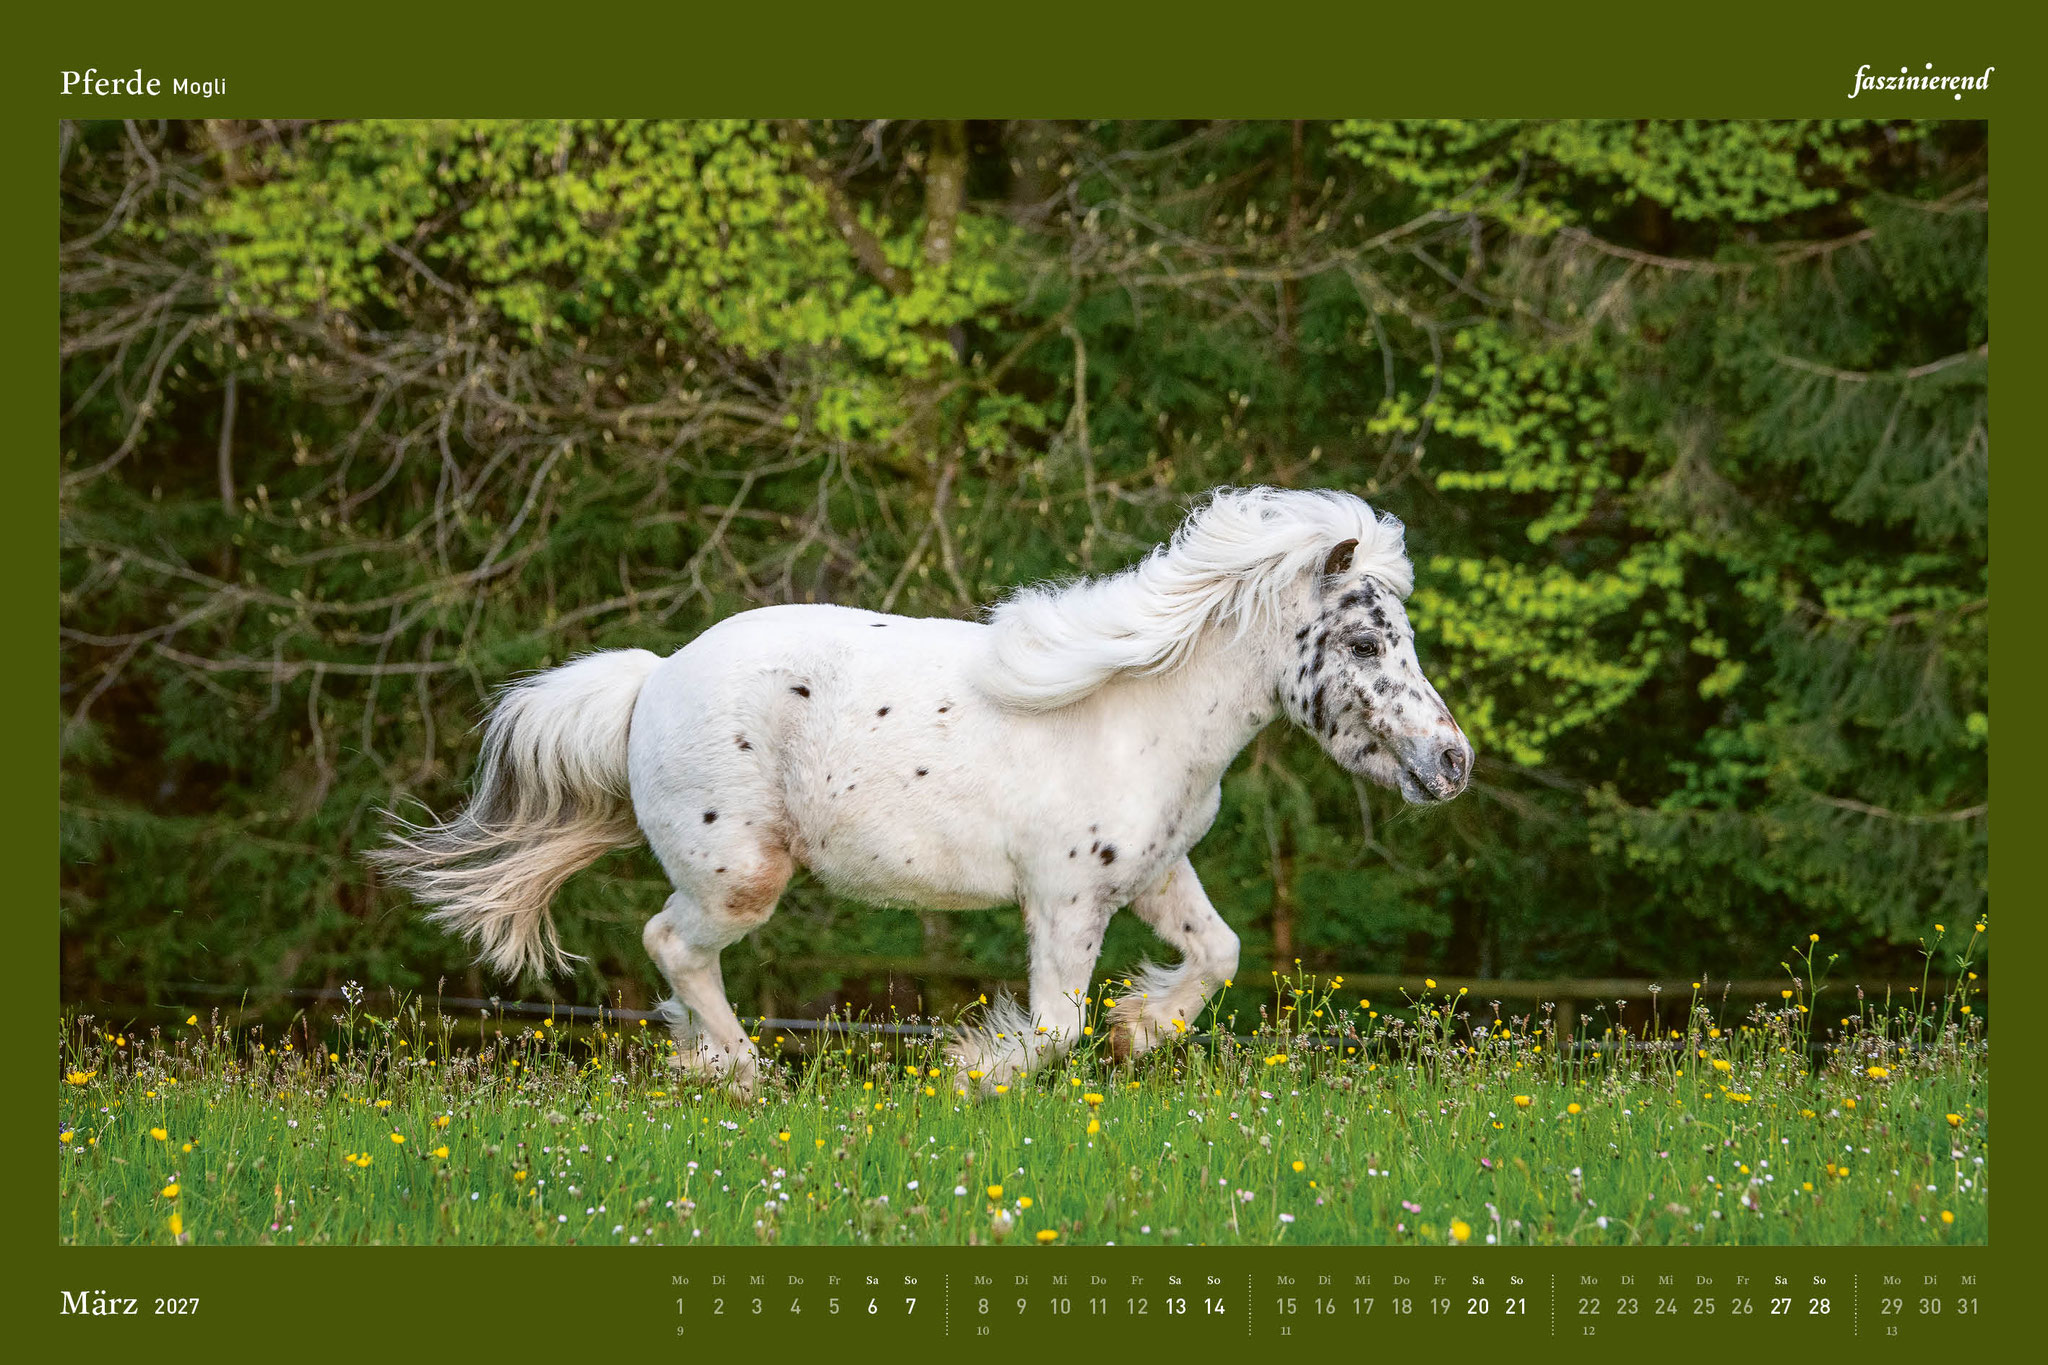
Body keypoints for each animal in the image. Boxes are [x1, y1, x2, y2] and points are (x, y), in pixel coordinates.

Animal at [371, 486, 1472, 1096]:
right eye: (1366, 640)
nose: (1452, 762)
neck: (1140, 711)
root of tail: (651, 680)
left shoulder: (1158, 875)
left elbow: (1219, 955)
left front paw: (1139, 1030)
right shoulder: (1065, 898)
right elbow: (1050, 1030)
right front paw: (976, 1073)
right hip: (739, 876)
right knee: (670, 945)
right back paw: (739, 1074)